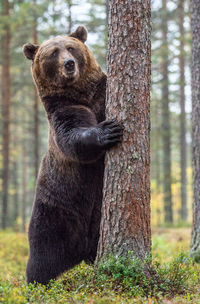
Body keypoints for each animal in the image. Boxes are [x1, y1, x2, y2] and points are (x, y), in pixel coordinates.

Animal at [22, 26, 122, 284]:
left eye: (71, 47)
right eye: (53, 52)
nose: (69, 64)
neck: (81, 94)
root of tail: (80, 251)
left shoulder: (101, 95)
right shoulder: (63, 108)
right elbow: (72, 137)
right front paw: (107, 130)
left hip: (95, 217)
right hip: (54, 209)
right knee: (42, 254)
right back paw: (36, 283)